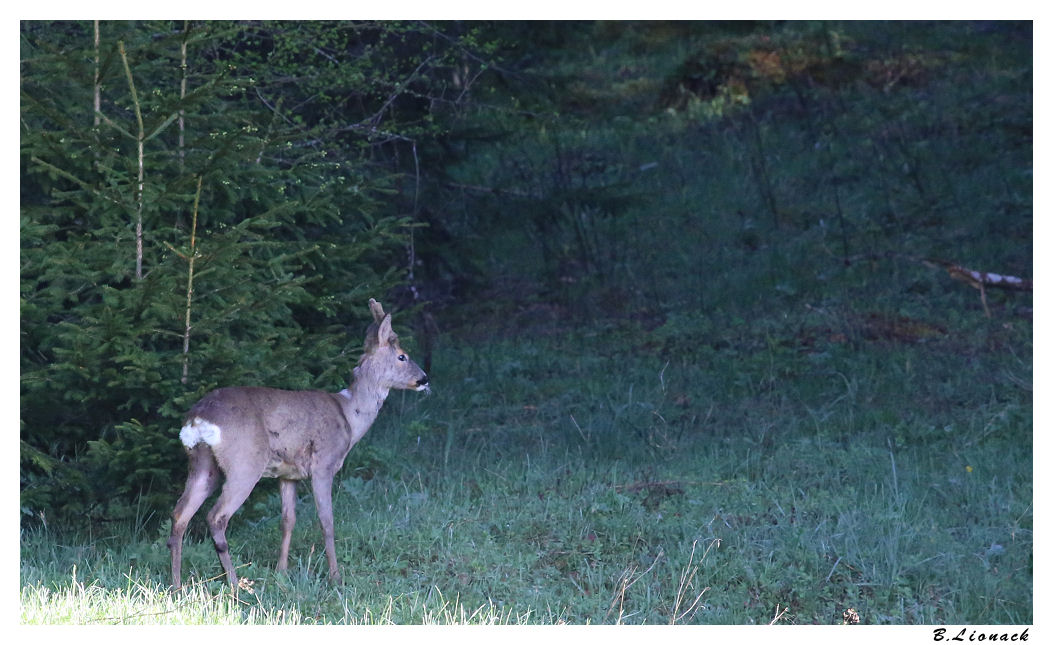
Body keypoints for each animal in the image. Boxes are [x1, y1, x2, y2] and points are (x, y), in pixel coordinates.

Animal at [164, 296, 427, 589]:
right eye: (402, 356)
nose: (424, 379)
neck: (349, 416)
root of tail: (198, 418)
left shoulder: (287, 475)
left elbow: (288, 520)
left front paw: (281, 571)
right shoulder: (324, 464)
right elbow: (326, 521)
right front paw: (335, 576)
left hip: (202, 464)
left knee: (180, 514)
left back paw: (177, 585)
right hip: (244, 463)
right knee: (216, 517)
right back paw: (234, 583)